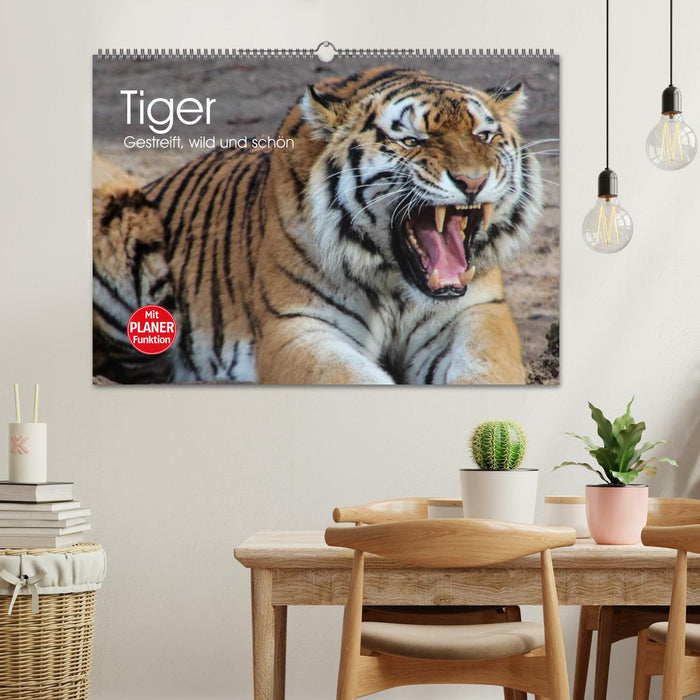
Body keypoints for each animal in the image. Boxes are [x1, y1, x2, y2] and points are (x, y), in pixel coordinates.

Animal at [93, 66, 544, 385]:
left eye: (483, 136)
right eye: (411, 141)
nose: (472, 181)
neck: (395, 282)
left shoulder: (477, 311)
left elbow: (486, 368)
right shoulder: (299, 325)